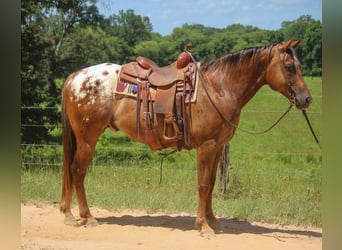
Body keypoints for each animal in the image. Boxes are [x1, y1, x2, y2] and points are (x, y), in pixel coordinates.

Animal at [59, 40, 312, 237]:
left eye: (299, 66)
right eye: (289, 67)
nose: (306, 99)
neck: (219, 88)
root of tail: (75, 77)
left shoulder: (217, 146)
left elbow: (211, 184)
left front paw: (213, 221)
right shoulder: (207, 146)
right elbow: (202, 185)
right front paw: (203, 226)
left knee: (72, 172)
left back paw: (69, 213)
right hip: (88, 139)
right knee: (77, 171)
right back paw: (87, 217)